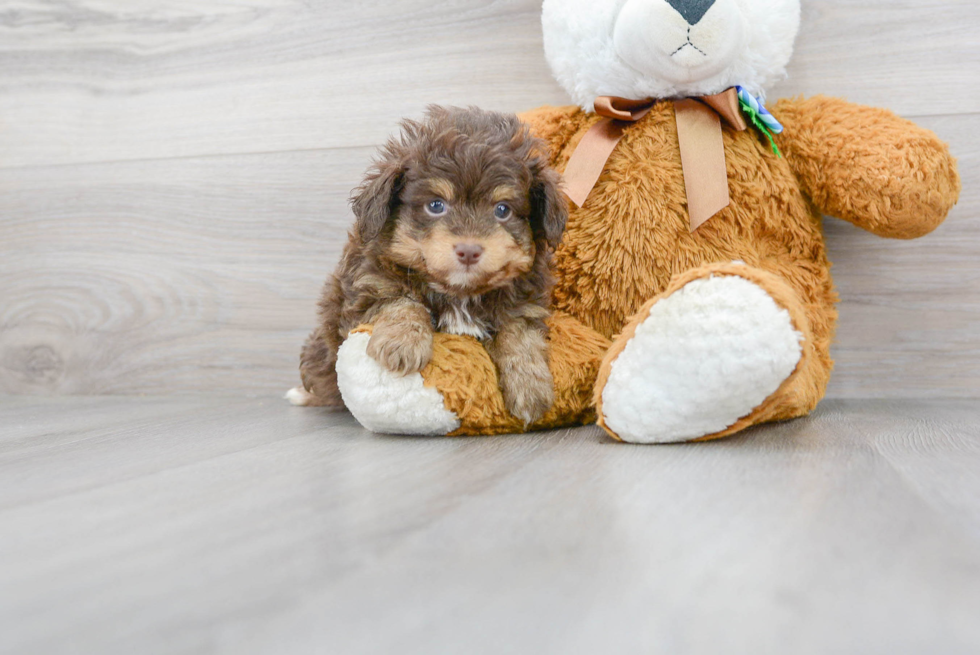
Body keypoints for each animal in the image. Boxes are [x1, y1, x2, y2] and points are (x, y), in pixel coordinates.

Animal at [288, 106, 568, 426]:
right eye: (435, 205)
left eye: (502, 210)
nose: (469, 250)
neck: (458, 292)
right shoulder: (369, 285)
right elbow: (401, 302)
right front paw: (402, 343)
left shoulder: (524, 303)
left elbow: (520, 335)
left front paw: (530, 385)